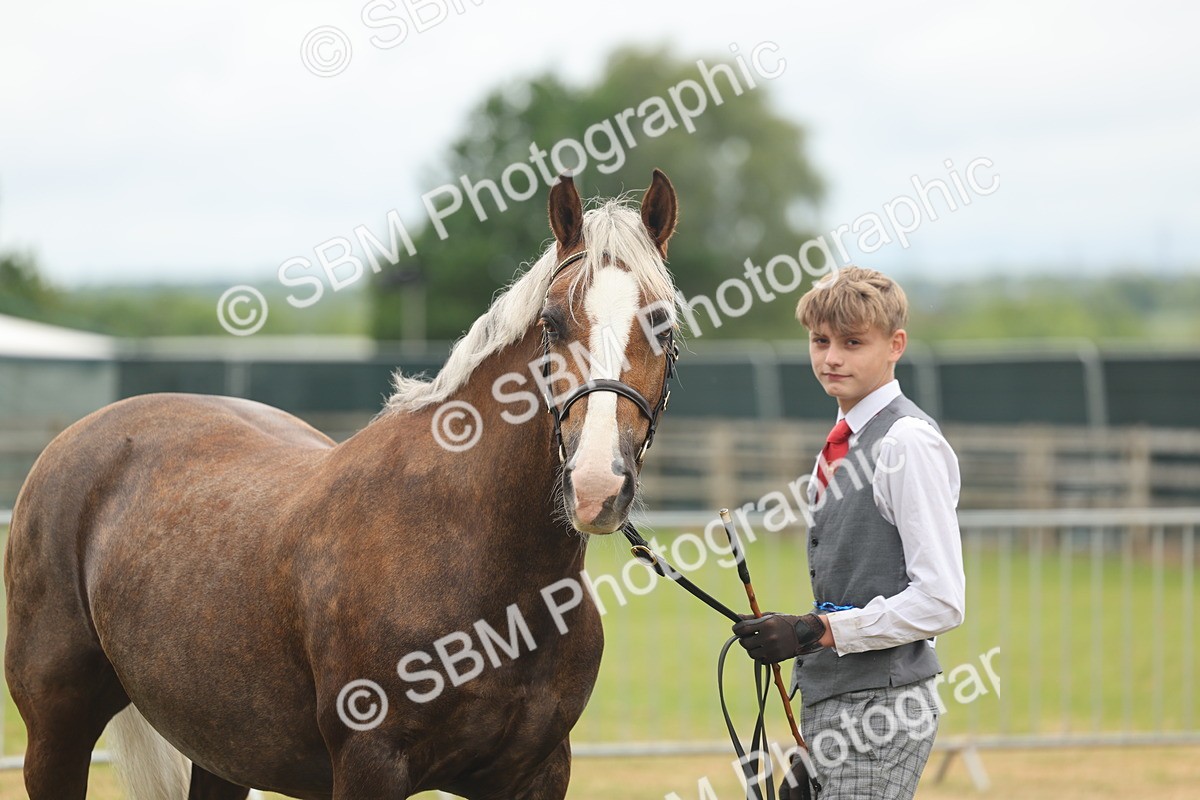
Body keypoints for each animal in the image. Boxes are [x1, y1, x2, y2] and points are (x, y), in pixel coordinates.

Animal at [4, 169, 680, 800]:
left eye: (665, 324)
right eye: (553, 321)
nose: (595, 484)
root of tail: (76, 438)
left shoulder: (537, 773)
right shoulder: (369, 765)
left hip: (220, 747)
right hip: (55, 734)